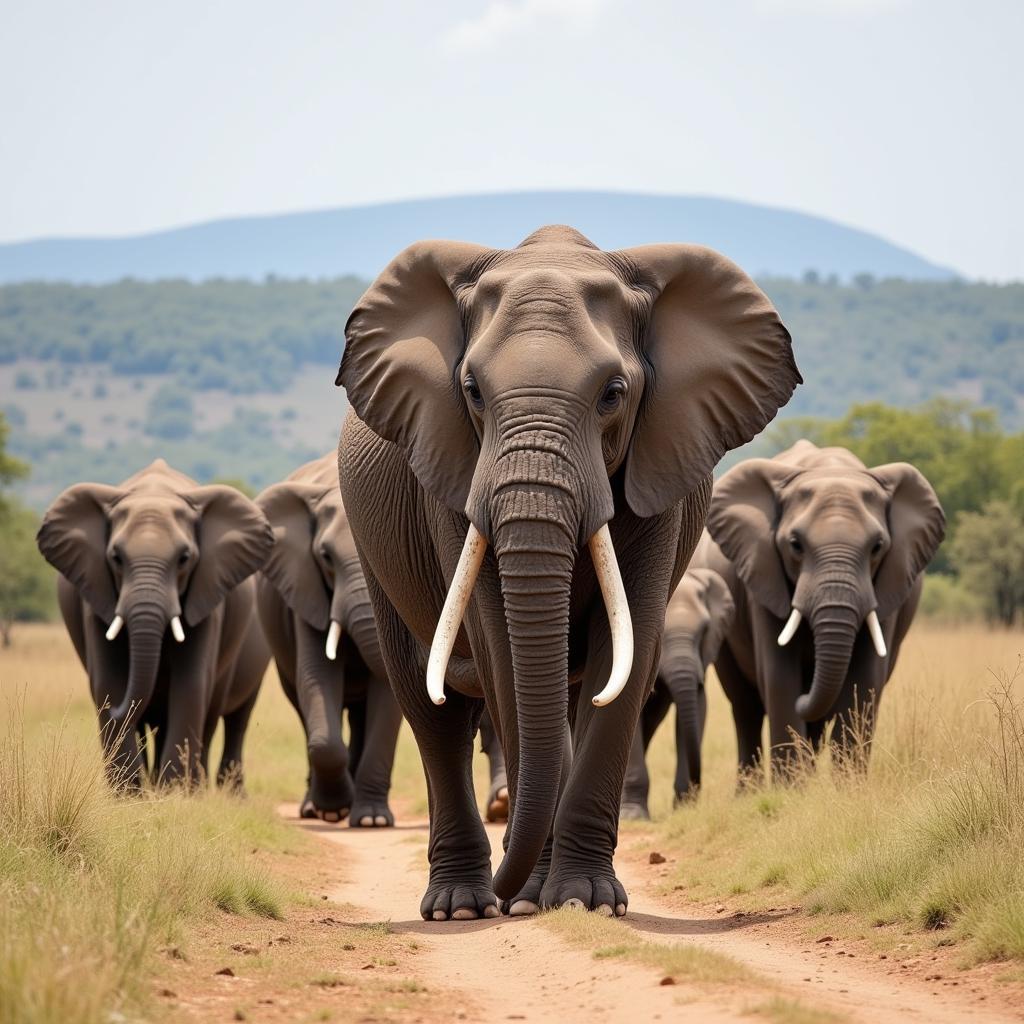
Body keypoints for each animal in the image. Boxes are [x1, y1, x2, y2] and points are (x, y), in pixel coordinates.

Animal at [38, 460, 274, 786]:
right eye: (116, 557)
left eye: (184, 558)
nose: (113, 709)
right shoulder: (96, 592)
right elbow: (109, 680)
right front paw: (128, 793)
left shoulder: (207, 594)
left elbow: (191, 683)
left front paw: (174, 790)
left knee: (232, 718)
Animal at [253, 452, 401, 827]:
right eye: (325, 557)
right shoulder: (307, 589)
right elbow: (316, 678)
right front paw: (334, 811)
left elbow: (386, 698)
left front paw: (372, 821)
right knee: (302, 704)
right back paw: (314, 808)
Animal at [700, 436, 946, 778]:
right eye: (795, 545)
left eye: (877, 547)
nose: (806, 694)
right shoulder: (762, 578)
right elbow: (779, 677)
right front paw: (790, 787)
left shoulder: (889, 583)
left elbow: (864, 681)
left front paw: (850, 785)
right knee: (745, 706)